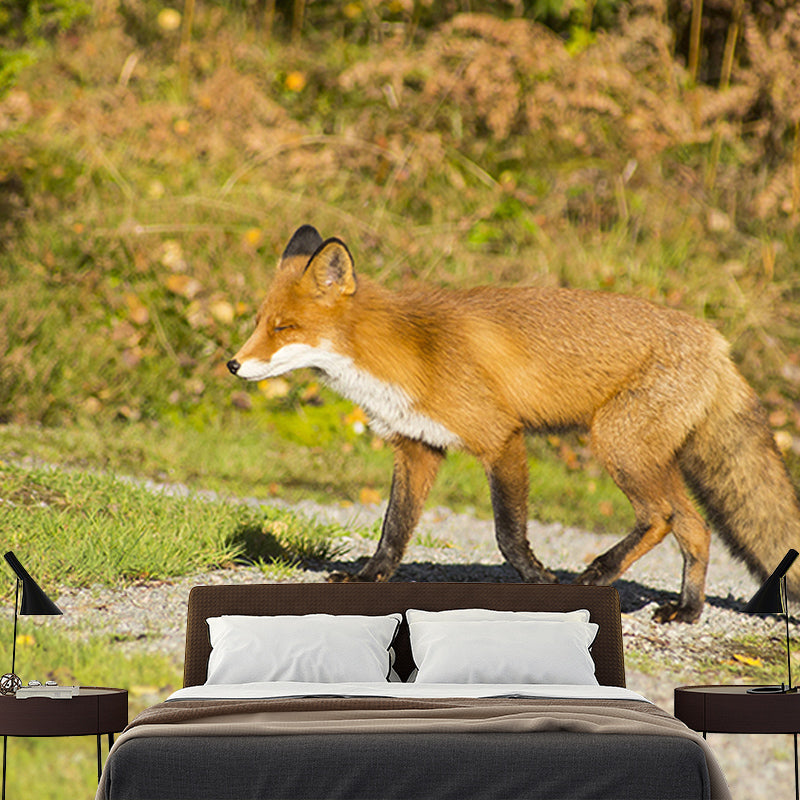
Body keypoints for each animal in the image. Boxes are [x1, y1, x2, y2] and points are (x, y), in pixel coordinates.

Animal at [227, 224, 800, 622]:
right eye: (258, 324)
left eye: (284, 327)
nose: (233, 365)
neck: (405, 353)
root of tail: (717, 341)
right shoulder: (417, 447)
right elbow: (394, 528)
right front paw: (368, 579)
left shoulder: (500, 437)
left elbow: (508, 532)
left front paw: (539, 581)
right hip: (647, 457)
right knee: (696, 528)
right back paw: (688, 610)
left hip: (617, 445)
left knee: (660, 517)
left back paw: (599, 575)